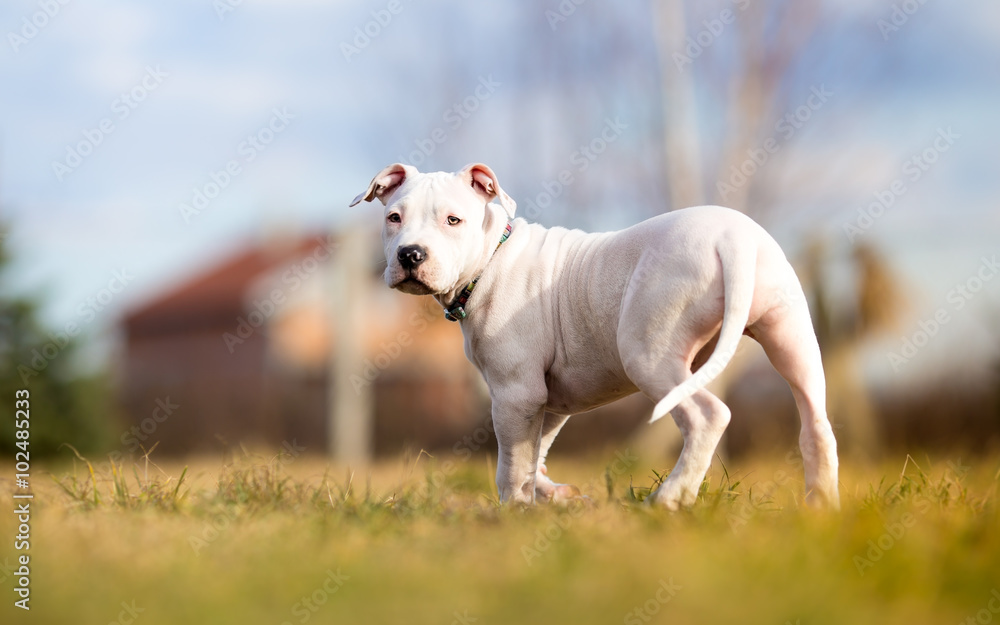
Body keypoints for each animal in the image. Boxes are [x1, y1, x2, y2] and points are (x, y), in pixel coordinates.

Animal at [352, 161, 836, 508]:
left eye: (453, 220)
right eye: (394, 218)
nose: (410, 254)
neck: (492, 258)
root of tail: (733, 239)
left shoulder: (516, 393)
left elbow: (511, 464)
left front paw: (512, 513)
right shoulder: (546, 401)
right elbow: (535, 455)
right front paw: (553, 497)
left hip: (648, 353)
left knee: (708, 416)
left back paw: (670, 498)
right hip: (791, 338)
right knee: (816, 424)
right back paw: (821, 509)